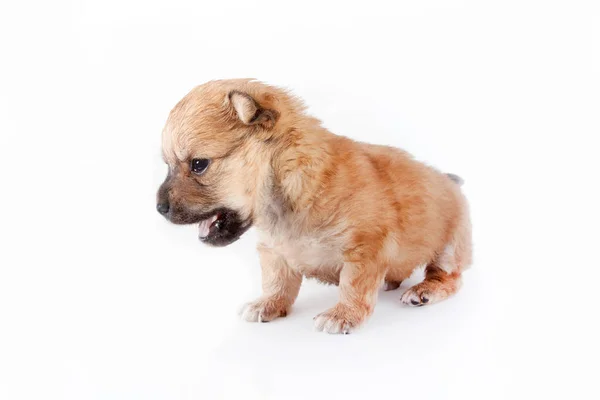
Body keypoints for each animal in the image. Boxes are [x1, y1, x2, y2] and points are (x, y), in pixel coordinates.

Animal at [157, 79, 472, 334]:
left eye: (199, 164)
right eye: (168, 165)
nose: (159, 207)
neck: (292, 190)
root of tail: (450, 180)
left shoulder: (365, 249)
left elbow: (353, 285)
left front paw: (343, 315)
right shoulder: (273, 251)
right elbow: (276, 282)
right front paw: (267, 304)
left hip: (450, 246)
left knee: (449, 276)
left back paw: (424, 290)